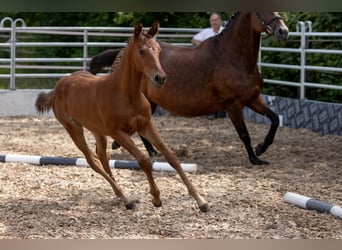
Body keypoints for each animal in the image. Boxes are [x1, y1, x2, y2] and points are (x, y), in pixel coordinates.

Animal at [36, 22, 210, 213]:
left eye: (158, 50)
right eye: (142, 51)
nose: (160, 78)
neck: (127, 94)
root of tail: (57, 88)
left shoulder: (146, 125)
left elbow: (171, 157)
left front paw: (201, 201)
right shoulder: (118, 133)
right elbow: (144, 160)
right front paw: (156, 198)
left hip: (97, 130)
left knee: (102, 157)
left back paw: (120, 196)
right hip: (73, 128)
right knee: (92, 160)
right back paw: (126, 199)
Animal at [88, 11, 288, 165]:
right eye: (260, 10)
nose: (283, 31)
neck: (234, 58)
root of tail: (122, 52)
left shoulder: (253, 99)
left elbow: (274, 119)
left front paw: (261, 148)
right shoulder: (234, 105)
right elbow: (244, 134)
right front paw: (255, 158)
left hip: (149, 102)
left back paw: (151, 152)